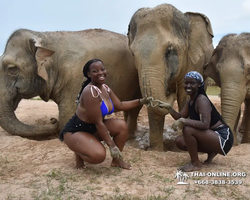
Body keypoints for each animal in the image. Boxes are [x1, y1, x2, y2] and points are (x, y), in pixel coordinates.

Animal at [128, 3, 214, 150]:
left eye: (169, 51)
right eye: (133, 54)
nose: (170, 92)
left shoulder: (193, 61)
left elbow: (185, 96)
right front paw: (156, 150)